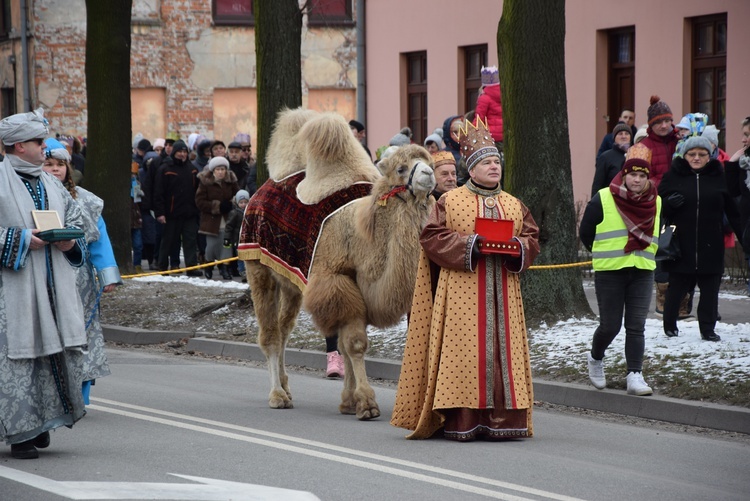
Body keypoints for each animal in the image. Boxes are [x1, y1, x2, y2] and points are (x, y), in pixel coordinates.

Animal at [242, 110, 434, 418]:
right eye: (402, 168)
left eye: (430, 161)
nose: (429, 175)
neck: (361, 234)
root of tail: (260, 191)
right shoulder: (335, 280)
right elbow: (354, 344)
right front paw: (366, 403)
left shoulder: (357, 285)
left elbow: (345, 344)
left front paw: (348, 401)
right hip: (258, 267)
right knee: (270, 334)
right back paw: (277, 395)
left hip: (292, 283)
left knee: (284, 329)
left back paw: (286, 387)